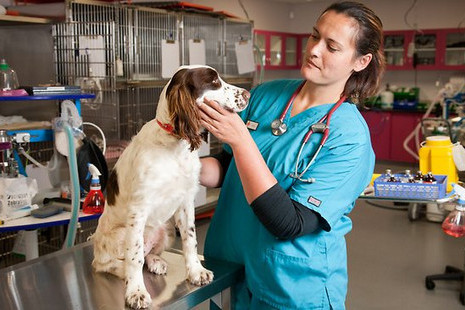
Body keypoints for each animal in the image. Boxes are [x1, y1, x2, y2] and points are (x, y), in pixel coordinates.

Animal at [91, 64, 250, 308]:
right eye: (214, 82)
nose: (248, 95)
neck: (174, 145)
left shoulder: (185, 201)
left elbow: (190, 240)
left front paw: (196, 272)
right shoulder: (138, 209)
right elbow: (134, 257)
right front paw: (136, 292)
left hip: (163, 227)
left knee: (148, 253)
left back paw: (156, 261)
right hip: (119, 235)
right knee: (107, 263)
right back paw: (123, 270)